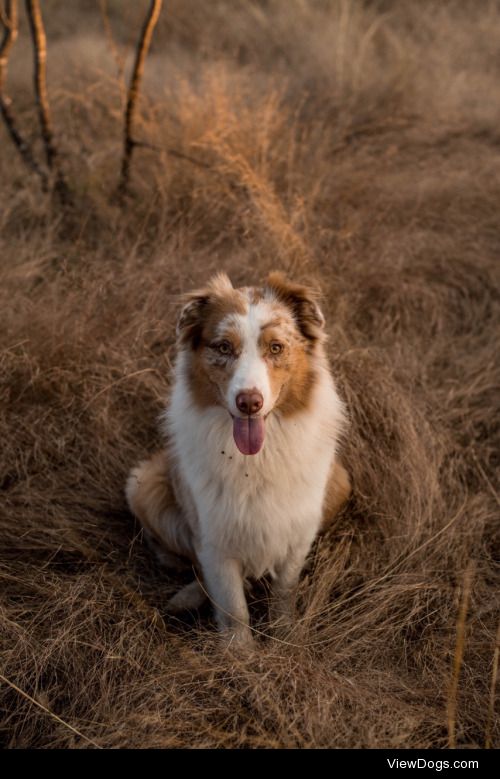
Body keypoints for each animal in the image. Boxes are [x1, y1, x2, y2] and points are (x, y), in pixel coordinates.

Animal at [126, 272, 352, 648]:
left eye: (275, 348)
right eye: (223, 347)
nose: (249, 402)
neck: (256, 462)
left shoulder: (297, 531)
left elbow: (284, 592)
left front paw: (284, 639)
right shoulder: (215, 538)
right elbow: (233, 607)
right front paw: (239, 654)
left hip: (340, 482)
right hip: (144, 484)